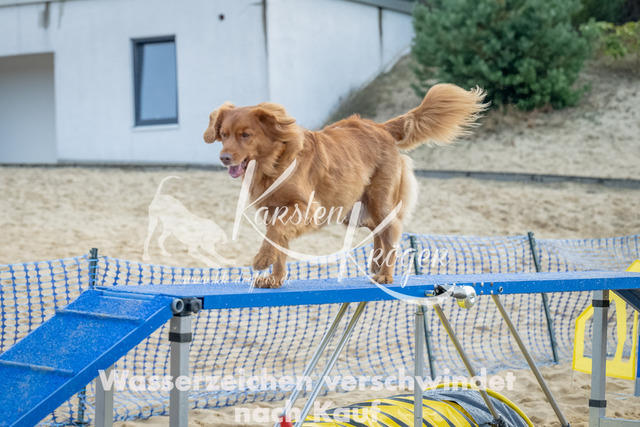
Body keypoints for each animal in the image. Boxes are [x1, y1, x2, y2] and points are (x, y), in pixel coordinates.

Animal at [204, 84, 486, 288]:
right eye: (224, 135)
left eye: (246, 135)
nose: (224, 158)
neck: (275, 163)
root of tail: (380, 127)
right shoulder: (274, 210)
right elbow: (278, 239)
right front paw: (275, 278)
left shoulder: (307, 207)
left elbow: (276, 232)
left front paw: (262, 259)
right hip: (357, 207)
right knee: (378, 230)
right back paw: (376, 264)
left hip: (381, 200)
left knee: (391, 231)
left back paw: (385, 274)